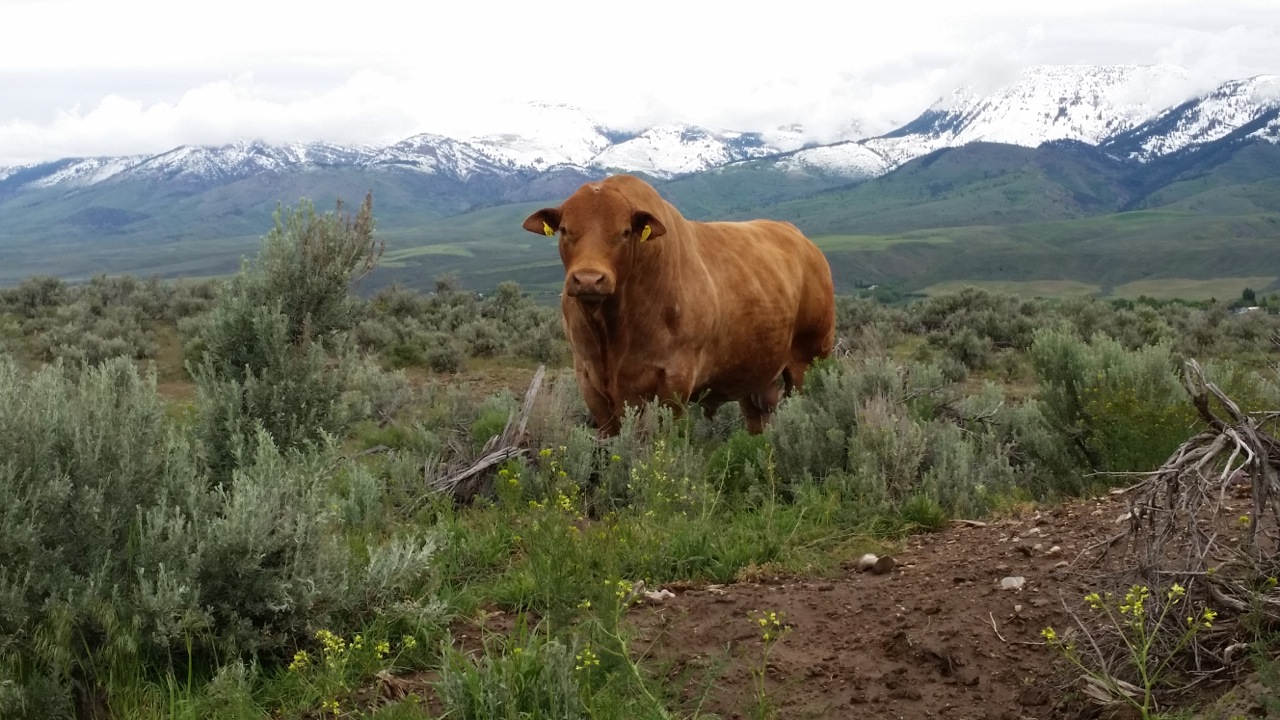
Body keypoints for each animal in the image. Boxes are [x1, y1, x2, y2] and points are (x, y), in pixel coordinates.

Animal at [522, 174, 839, 435]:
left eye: (625, 232)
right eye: (564, 229)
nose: (588, 279)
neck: (612, 332)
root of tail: (806, 244)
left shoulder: (674, 380)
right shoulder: (589, 379)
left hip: (809, 360)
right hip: (755, 374)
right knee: (757, 420)